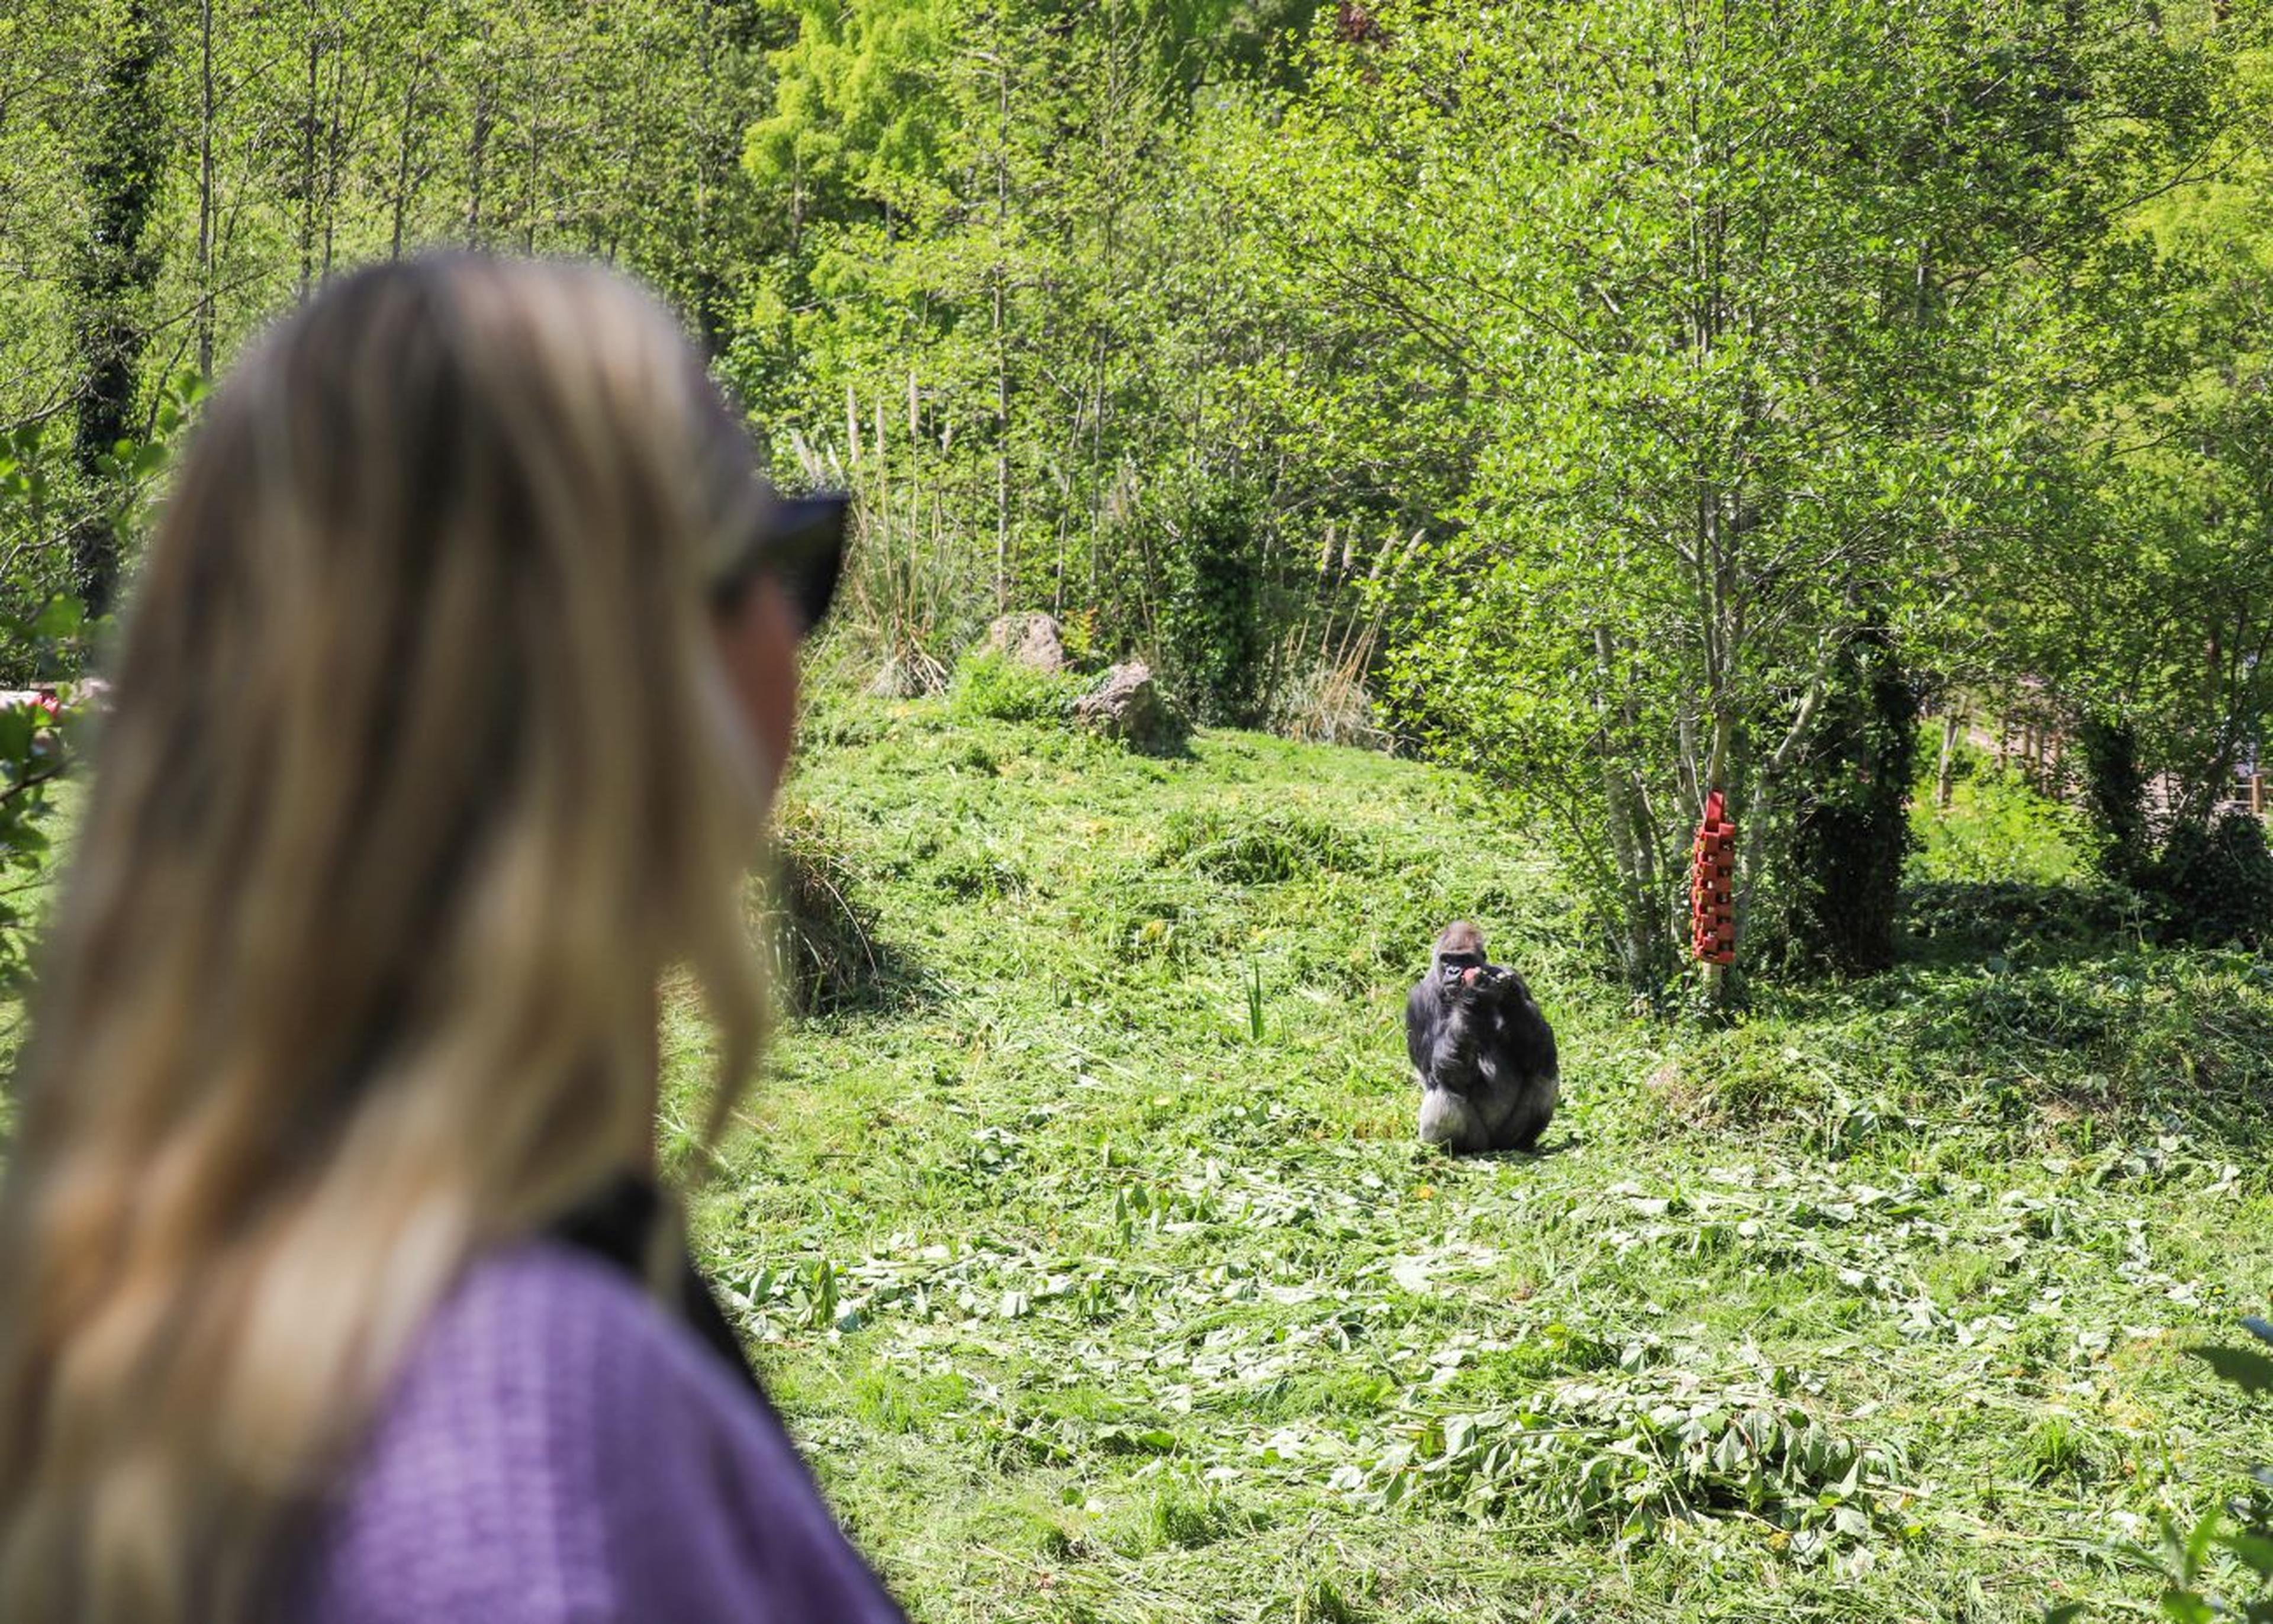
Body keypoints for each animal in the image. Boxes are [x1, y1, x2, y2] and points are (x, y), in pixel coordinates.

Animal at [1406, 921, 1559, 1154]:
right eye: (1447, 959)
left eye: (1464, 959)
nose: (1453, 970)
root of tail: (1492, 1147)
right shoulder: (1418, 1000)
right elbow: (1442, 1069)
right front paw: (1474, 995)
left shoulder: (1514, 976)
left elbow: (1541, 1049)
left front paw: (1512, 997)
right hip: (1477, 1141)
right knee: (1444, 1087)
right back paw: (1454, 1147)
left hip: (1505, 1137)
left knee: (1544, 1069)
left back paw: (1523, 1142)